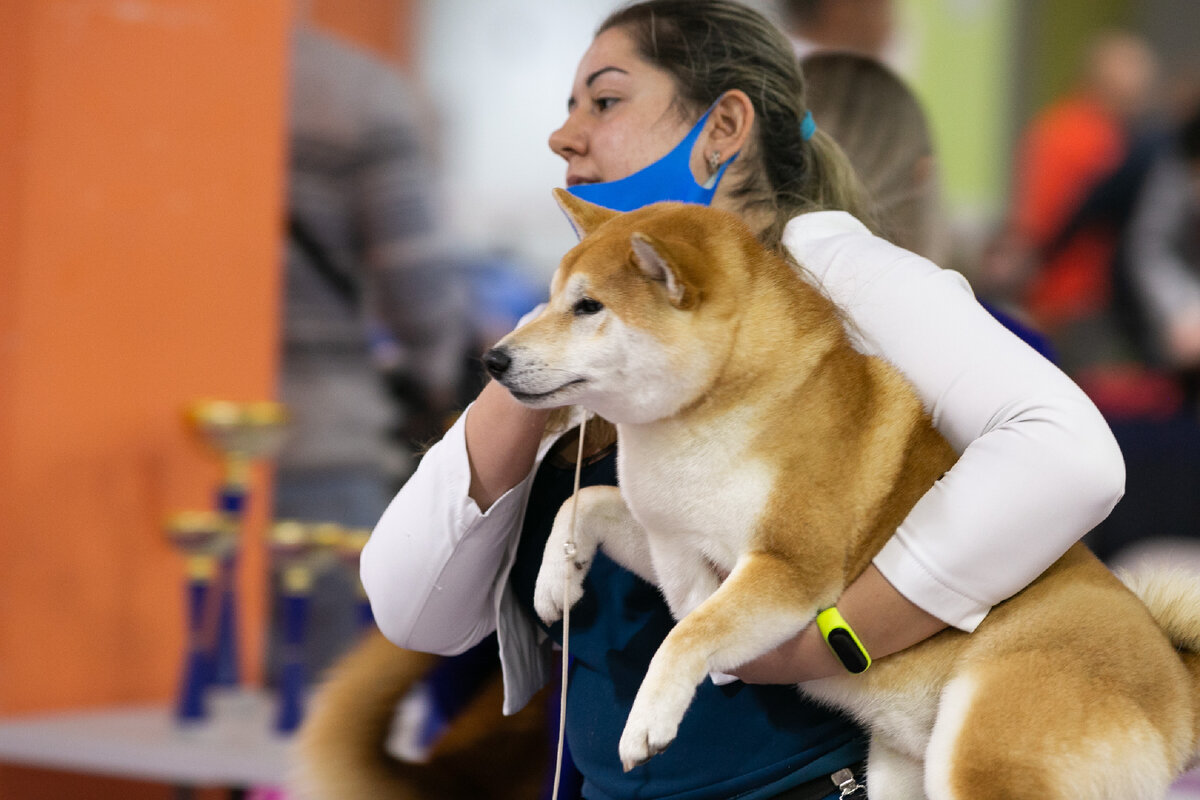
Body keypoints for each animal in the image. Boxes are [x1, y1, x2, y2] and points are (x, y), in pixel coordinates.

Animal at [482, 191, 1200, 800]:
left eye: (588, 308)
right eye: (549, 300)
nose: (493, 359)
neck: (714, 406)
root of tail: (1176, 675)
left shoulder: (791, 567)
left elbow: (688, 633)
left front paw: (648, 718)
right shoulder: (673, 540)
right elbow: (591, 503)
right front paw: (556, 579)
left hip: (986, 750)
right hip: (900, 774)